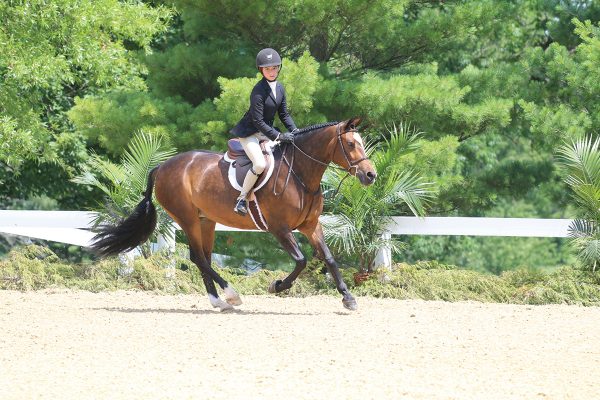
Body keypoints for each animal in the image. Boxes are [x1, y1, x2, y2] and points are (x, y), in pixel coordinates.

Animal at [90, 117, 376, 310]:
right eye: (351, 143)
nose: (370, 175)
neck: (300, 173)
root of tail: (161, 167)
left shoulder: (310, 225)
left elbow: (328, 258)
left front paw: (348, 297)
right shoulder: (279, 228)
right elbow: (301, 260)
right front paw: (277, 286)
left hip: (206, 220)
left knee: (202, 257)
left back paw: (218, 301)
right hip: (187, 219)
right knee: (199, 257)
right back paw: (231, 295)